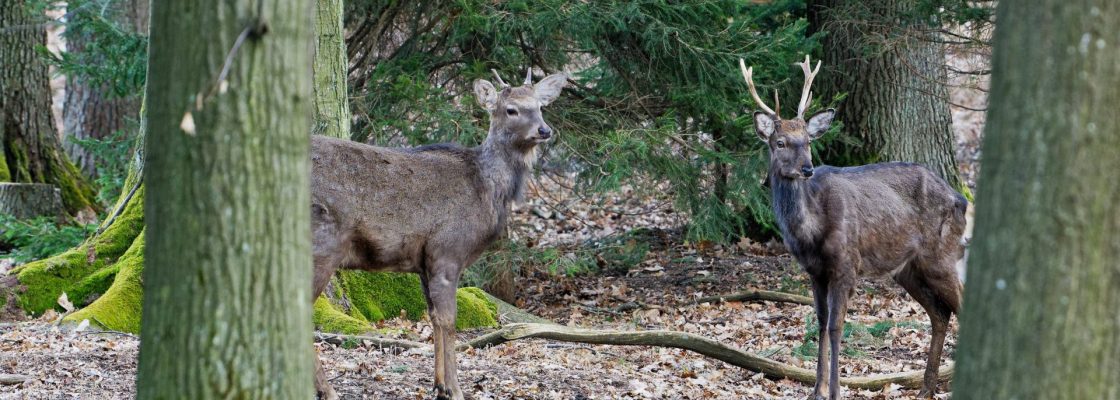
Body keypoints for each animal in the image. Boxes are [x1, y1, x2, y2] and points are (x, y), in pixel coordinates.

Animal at [308, 68, 568, 400]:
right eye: (511, 110)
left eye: (540, 106)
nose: (544, 130)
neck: (488, 190)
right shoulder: (448, 251)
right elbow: (449, 320)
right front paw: (455, 388)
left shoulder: (424, 261)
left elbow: (432, 317)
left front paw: (439, 384)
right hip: (323, 245)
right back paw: (327, 390)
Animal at [738, 55, 967, 400]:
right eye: (780, 142)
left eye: (808, 141)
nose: (807, 168)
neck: (810, 231)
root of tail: (960, 199)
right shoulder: (815, 271)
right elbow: (819, 323)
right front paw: (816, 390)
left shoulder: (846, 263)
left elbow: (836, 326)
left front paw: (834, 390)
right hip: (907, 268)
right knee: (940, 314)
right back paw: (926, 389)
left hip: (942, 254)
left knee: (961, 307)